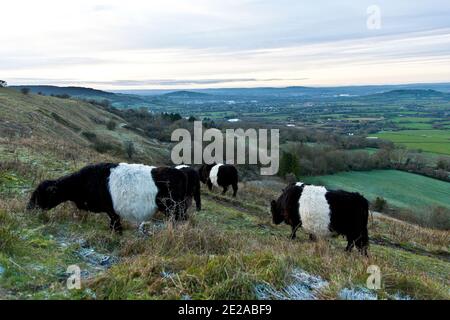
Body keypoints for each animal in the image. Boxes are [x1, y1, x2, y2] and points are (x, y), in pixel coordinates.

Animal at [26, 162, 188, 232]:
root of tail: (180, 172)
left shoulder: (111, 209)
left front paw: (116, 231)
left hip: (174, 208)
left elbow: (115, 221)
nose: (28, 208)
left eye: (40, 194)